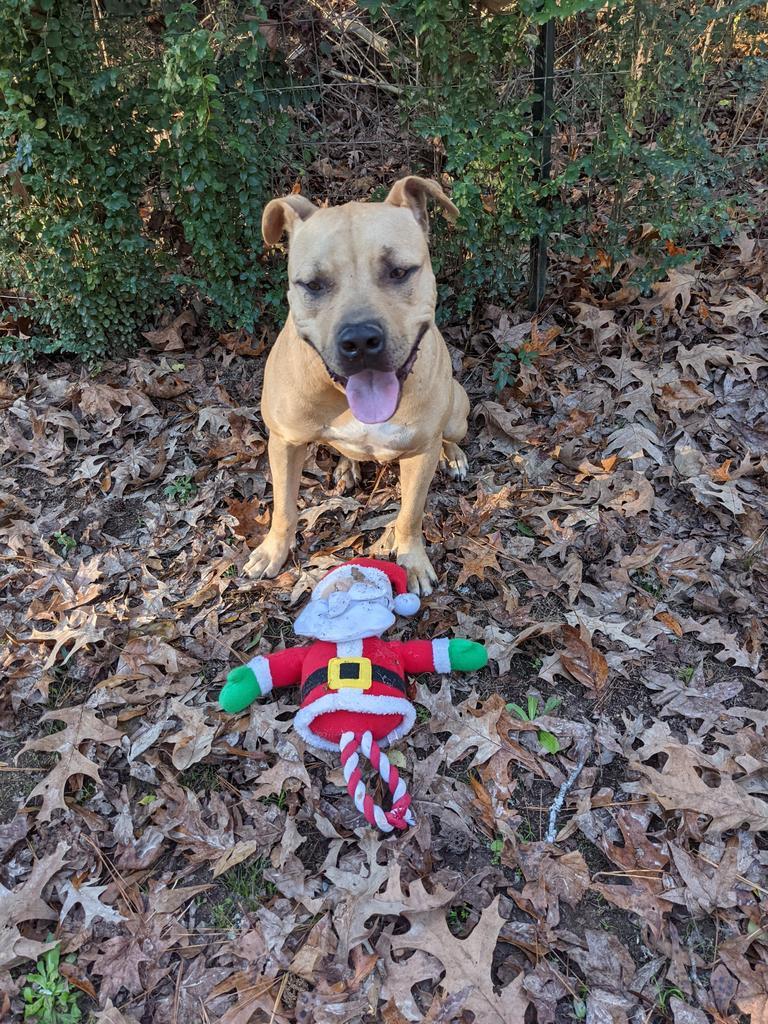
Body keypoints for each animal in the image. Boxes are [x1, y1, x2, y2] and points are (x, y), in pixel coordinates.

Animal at [246, 175, 473, 593]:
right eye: (313, 284)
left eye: (399, 271)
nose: (361, 340)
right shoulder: (284, 441)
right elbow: (283, 505)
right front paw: (273, 551)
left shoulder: (420, 453)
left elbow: (410, 514)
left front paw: (412, 562)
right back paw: (347, 467)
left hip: (456, 413)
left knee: (449, 435)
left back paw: (453, 456)